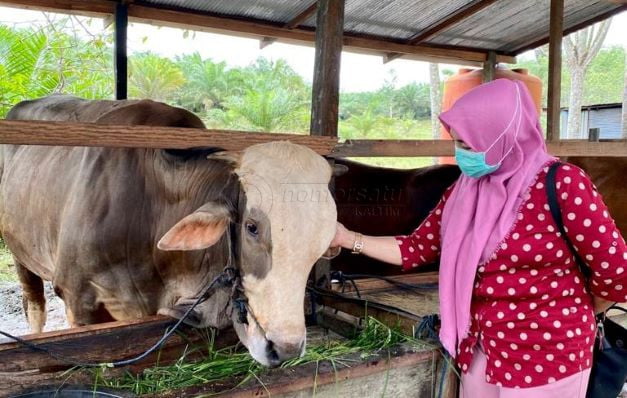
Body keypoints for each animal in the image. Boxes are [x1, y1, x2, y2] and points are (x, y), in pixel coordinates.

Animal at [0, 94, 338, 366]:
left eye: (322, 243)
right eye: (251, 227)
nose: (285, 349)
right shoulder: (78, 300)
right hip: (20, 254)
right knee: (34, 305)